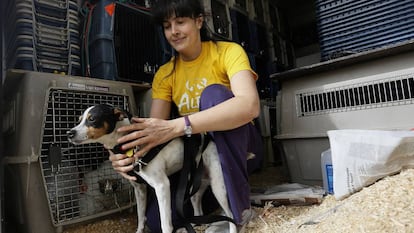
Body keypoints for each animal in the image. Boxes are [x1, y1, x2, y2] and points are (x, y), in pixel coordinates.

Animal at [66, 104, 238, 233]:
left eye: (92, 119)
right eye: (79, 120)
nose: (69, 133)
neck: (127, 143)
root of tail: (209, 139)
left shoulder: (162, 186)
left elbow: (165, 224)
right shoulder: (139, 189)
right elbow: (141, 216)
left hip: (218, 187)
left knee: (230, 215)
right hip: (195, 186)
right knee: (198, 210)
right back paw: (193, 226)